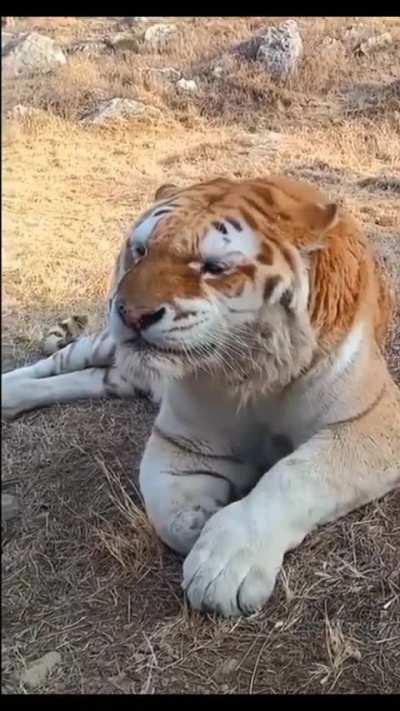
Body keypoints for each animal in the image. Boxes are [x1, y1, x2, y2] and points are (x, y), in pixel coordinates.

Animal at [2, 175, 400, 618]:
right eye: (141, 250)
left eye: (214, 267)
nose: (131, 313)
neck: (257, 374)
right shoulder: (185, 439)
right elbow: (167, 511)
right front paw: (201, 525)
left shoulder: (370, 421)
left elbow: (294, 475)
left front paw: (226, 563)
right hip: (105, 344)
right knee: (58, 362)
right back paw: (9, 391)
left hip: (120, 375)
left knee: (92, 377)